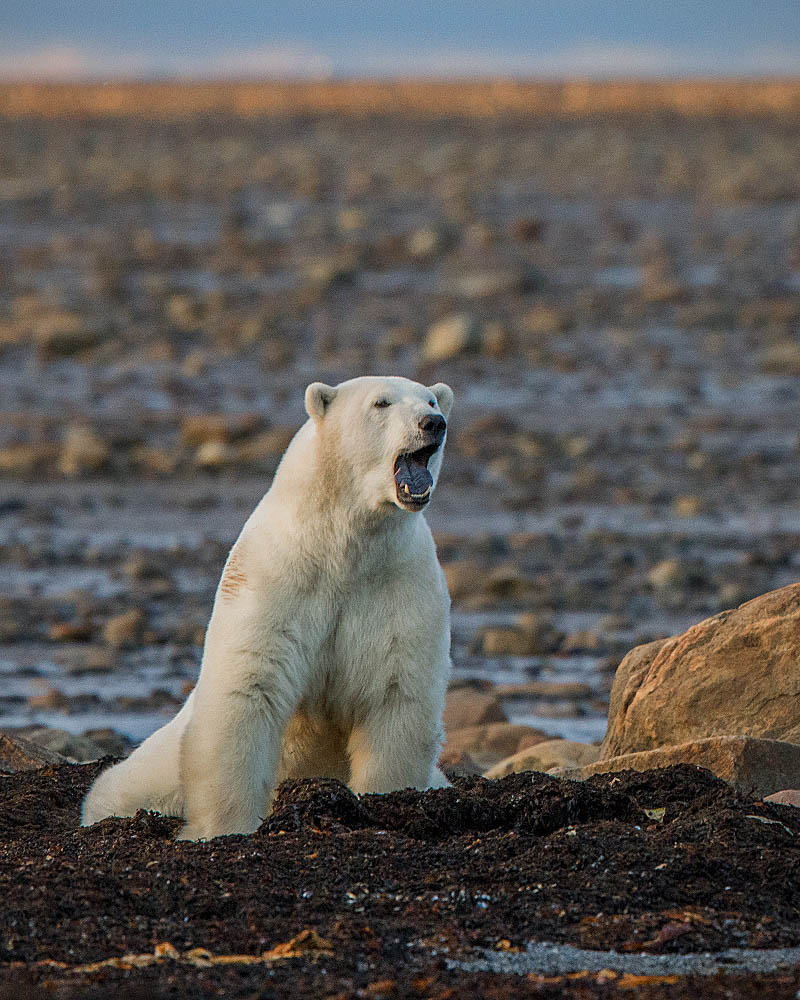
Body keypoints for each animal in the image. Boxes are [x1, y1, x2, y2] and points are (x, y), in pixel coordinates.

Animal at [83, 378, 456, 840]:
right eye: (381, 403)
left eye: (432, 400)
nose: (433, 423)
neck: (345, 546)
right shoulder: (276, 578)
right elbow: (248, 688)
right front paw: (223, 828)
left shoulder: (399, 587)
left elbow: (396, 691)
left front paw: (384, 800)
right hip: (162, 765)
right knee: (124, 786)